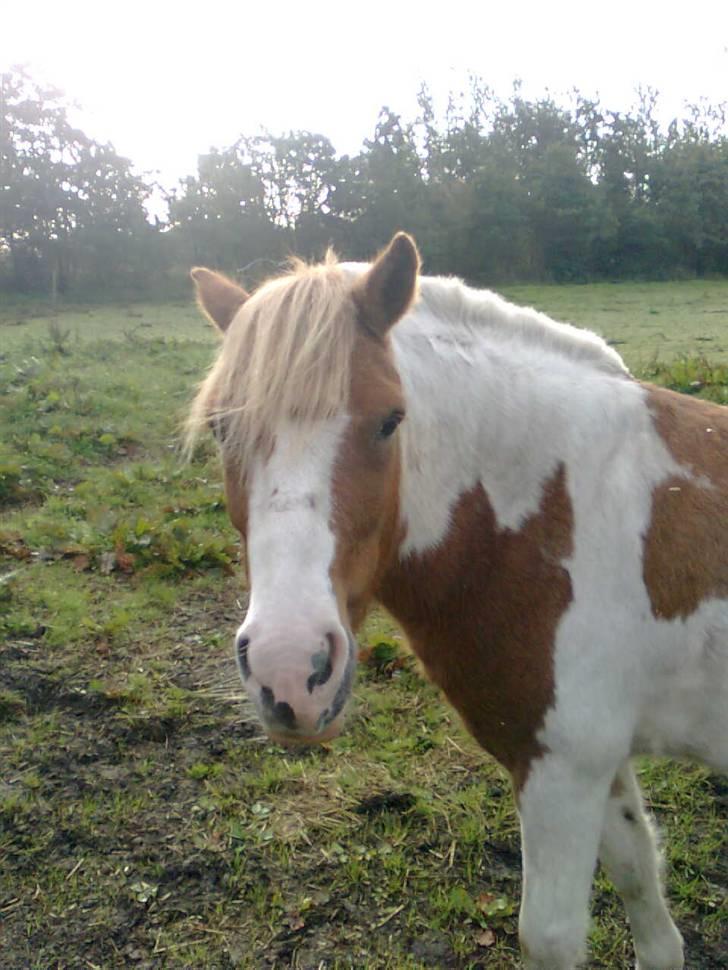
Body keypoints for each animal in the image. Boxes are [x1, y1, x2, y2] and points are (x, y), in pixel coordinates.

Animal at [189, 234, 728, 968]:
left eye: (391, 421)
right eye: (222, 430)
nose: (289, 673)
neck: (551, 521)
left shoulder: (560, 769)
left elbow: (551, 934)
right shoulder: (598, 761)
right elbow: (643, 891)